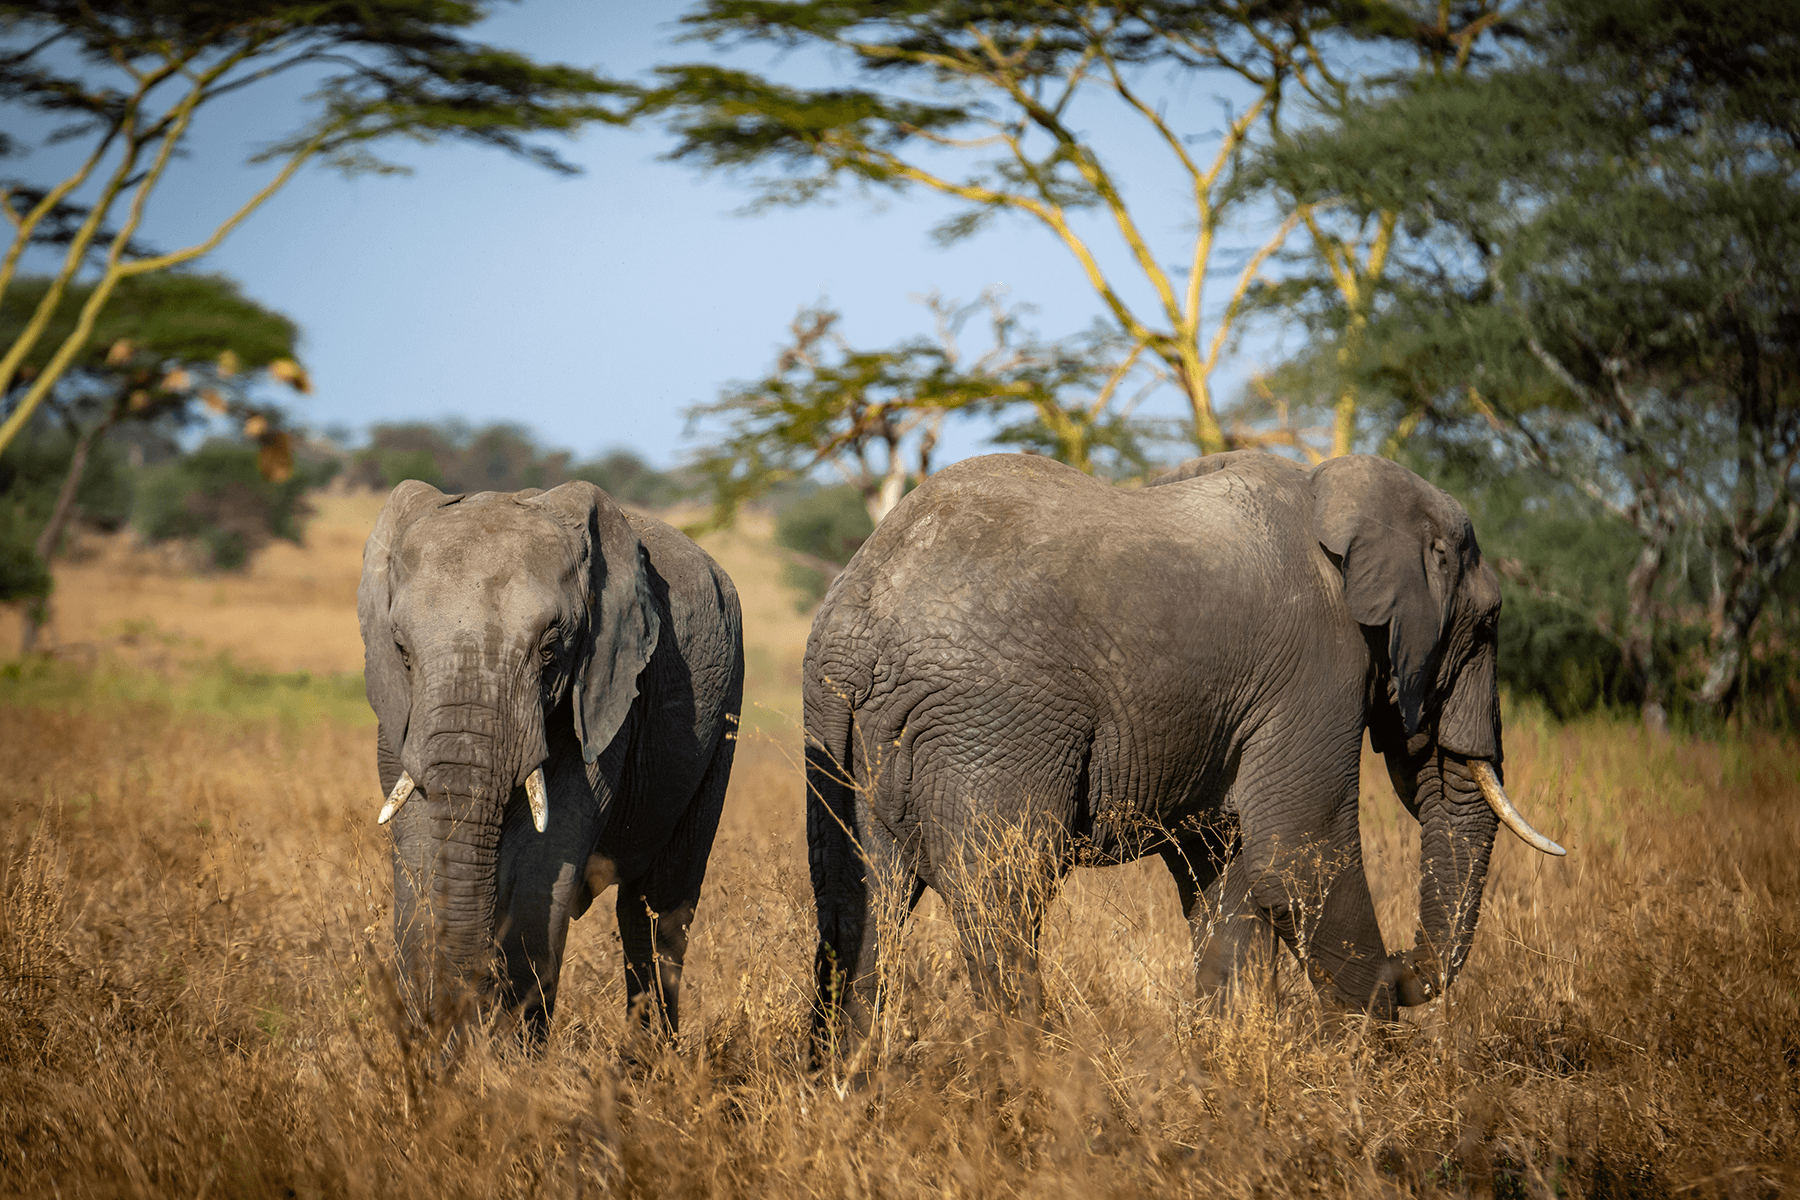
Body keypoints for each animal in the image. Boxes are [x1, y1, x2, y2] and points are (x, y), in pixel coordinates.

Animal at [358, 479, 744, 1042]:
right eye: (402, 650)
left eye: (548, 649)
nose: (472, 1000)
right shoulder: (399, 718)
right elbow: (418, 849)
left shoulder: (605, 696)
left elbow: (545, 859)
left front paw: (506, 1053)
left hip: (723, 718)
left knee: (658, 910)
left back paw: (652, 1061)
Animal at [804, 450, 1563, 1040]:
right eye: (1489, 625)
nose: (1406, 966)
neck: (1336, 488)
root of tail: (862, 617)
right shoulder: (1318, 665)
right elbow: (1296, 853)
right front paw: (1369, 1059)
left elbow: (1223, 867)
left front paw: (1234, 1055)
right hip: (993, 724)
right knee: (1003, 894)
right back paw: (1037, 1082)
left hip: (841, 726)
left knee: (857, 897)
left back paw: (852, 1088)